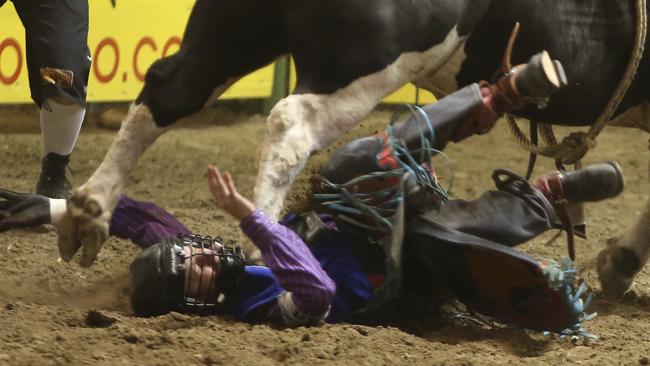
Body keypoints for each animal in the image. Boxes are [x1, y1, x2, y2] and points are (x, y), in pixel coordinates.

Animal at [58, 0, 644, 294]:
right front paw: (624, 261)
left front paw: (620, 261)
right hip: (369, 58)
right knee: (292, 124)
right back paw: (264, 248)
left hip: (234, 29)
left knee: (166, 89)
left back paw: (90, 209)